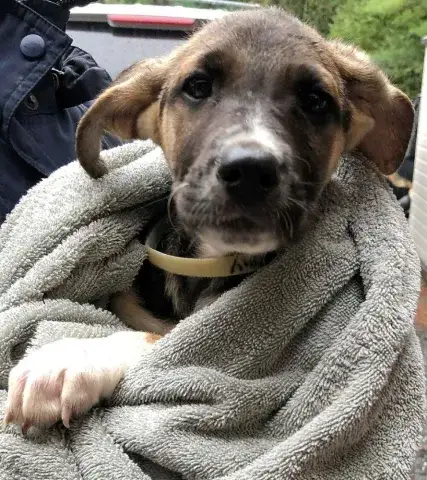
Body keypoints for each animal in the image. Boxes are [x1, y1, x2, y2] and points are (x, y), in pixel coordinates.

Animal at [4, 8, 414, 431]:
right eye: (198, 86)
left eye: (316, 100)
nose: (250, 171)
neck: (214, 261)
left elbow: (168, 344)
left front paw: (70, 360)